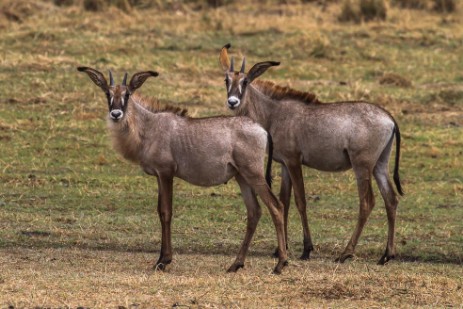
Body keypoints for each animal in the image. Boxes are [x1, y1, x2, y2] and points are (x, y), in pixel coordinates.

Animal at [77, 66, 288, 274]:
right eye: (107, 93)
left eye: (127, 94)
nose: (116, 114)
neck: (148, 126)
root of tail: (262, 130)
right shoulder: (159, 175)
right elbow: (160, 211)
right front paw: (161, 259)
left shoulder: (166, 172)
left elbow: (166, 212)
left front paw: (164, 261)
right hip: (242, 177)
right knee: (254, 212)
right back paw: (236, 264)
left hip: (254, 174)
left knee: (276, 206)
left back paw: (280, 263)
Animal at [219, 44, 404, 264]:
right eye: (226, 80)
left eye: (245, 81)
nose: (232, 102)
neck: (273, 113)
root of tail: (389, 118)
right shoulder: (284, 164)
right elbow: (284, 200)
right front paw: (280, 249)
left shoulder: (293, 161)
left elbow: (300, 201)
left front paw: (306, 249)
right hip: (379, 165)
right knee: (390, 199)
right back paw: (387, 254)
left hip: (362, 165)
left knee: (367, 202)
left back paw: (346, 253)